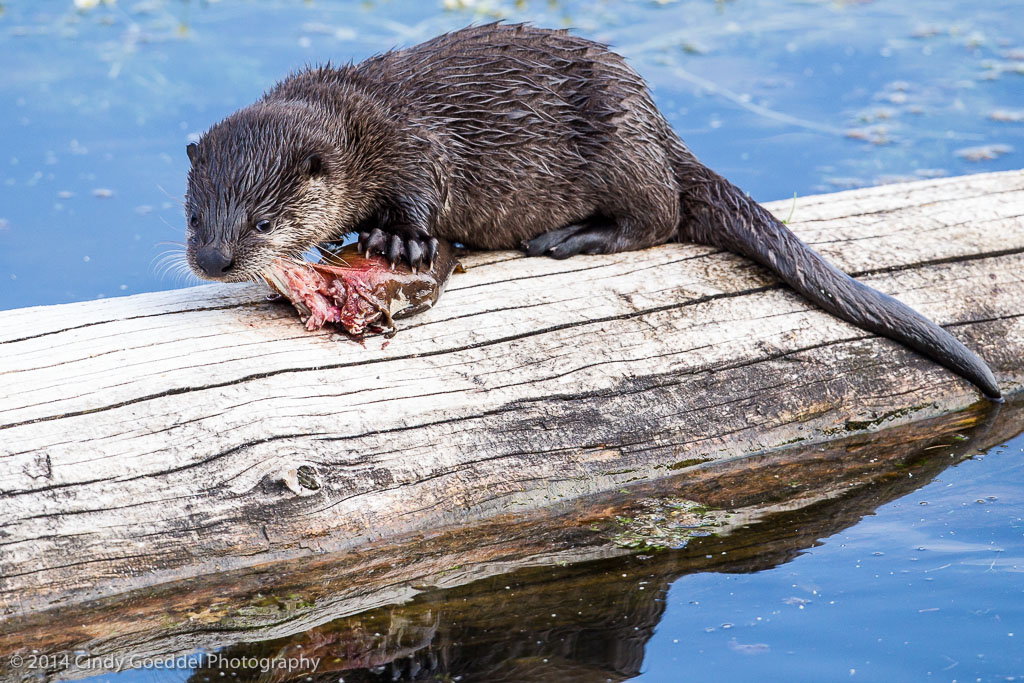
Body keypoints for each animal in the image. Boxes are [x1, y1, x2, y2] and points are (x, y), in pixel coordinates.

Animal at [184, 23, 1001, 400]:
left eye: (262, 222)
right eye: (195, 217)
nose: (214, 259)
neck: (359, 119)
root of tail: (657, 121)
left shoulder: (414, 145)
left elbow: (422, 197)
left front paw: (400, 241)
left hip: (620, 148)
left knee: (660, 216)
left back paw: (571, 237)